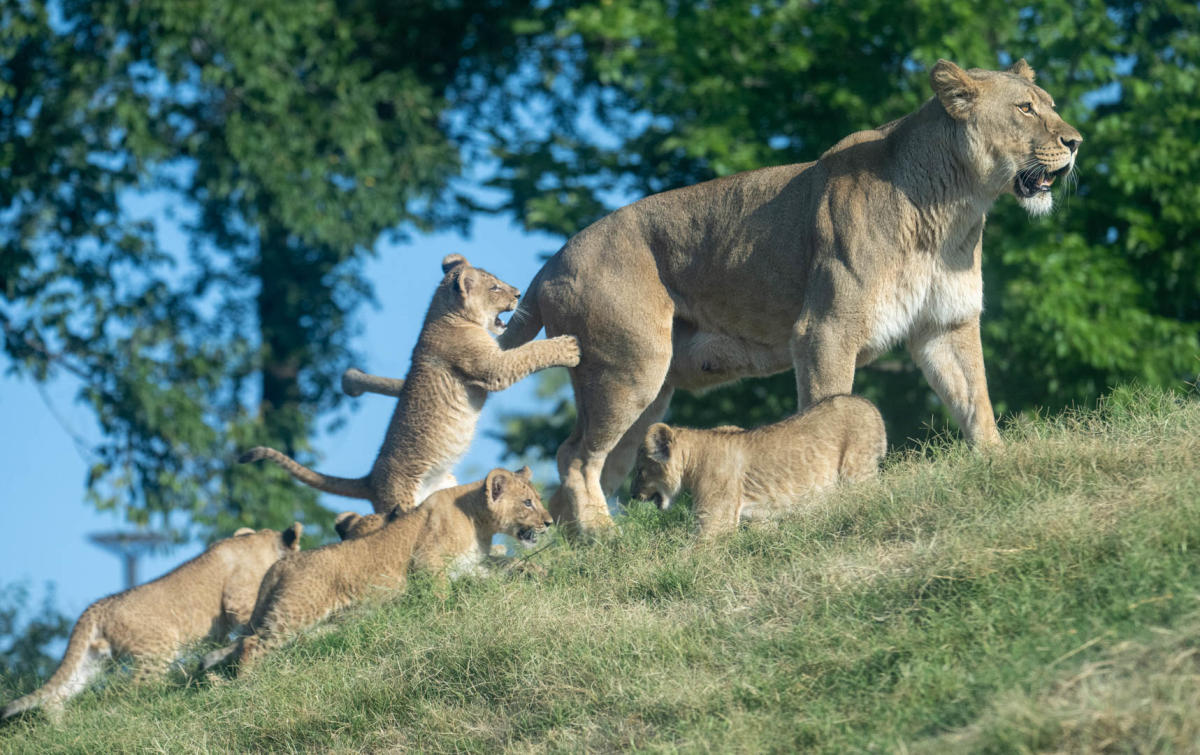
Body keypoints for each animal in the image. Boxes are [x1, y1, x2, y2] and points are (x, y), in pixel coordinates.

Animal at [1, 524, 301, 721]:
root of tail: (98, 606)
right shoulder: (237, 603)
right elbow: (255, 618)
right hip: (159, 648)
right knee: (133, 691)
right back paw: (162, 697)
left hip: (93, 660)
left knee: (59, 693)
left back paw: (61, 727)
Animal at [206, 467, 551, 672]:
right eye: (527, 503)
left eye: (537, 500)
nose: (549, 522)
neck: (478, 522)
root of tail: (280, 564)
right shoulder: (427, 561)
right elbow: (441, 594)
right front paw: (447, 614)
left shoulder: (472, 564)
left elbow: (508, 563)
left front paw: (537, 571)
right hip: (296, 612)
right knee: (250, 645)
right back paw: (247, 680)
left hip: (317, 623)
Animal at [240, 254, 580, 514]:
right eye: (495, 287)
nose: (518, 293)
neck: (445, 313)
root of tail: (370, 478)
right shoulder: (491, 368)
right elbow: (529, 353)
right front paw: (569, 347)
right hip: (401, 504)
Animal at [631, 395, 886, 536]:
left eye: (640, 472)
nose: (633, 495)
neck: (693, 459)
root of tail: (870, 406)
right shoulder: (761, 518)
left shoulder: (716, 518)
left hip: (857, 474)